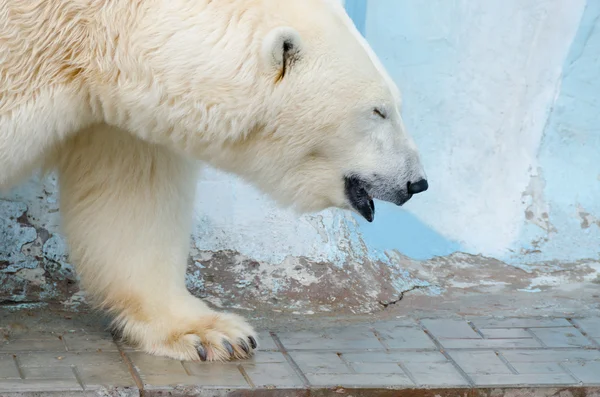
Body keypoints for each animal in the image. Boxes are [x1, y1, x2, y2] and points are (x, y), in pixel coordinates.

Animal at [2, 0, 428, 360]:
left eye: (394, 105)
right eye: (378, 111)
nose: (417, 183)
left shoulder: (120, 119)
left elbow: (131, 197)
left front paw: (212, 333)